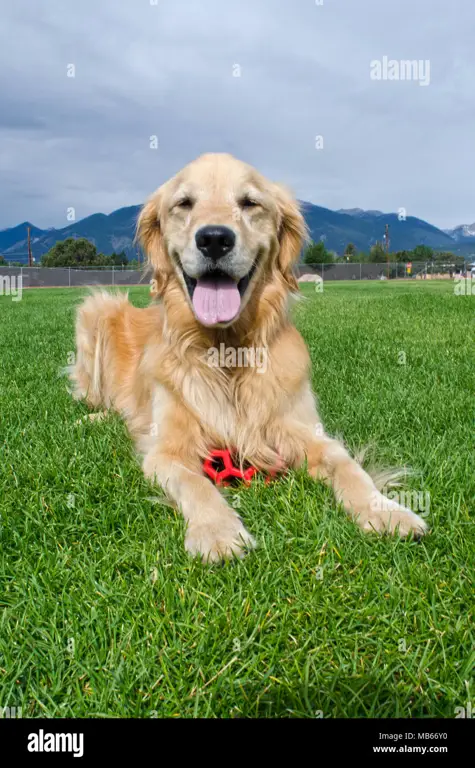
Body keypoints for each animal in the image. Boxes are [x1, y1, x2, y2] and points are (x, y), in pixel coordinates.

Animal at [69, 154, 430, 564]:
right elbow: (196, 483)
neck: (228, 352)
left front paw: (386, 510)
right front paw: (217, 531)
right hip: (96, 309)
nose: (214, 238)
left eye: (249, 202)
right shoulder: (166, 450)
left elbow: (349, 466)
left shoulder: (303, 429)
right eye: (184, 203)